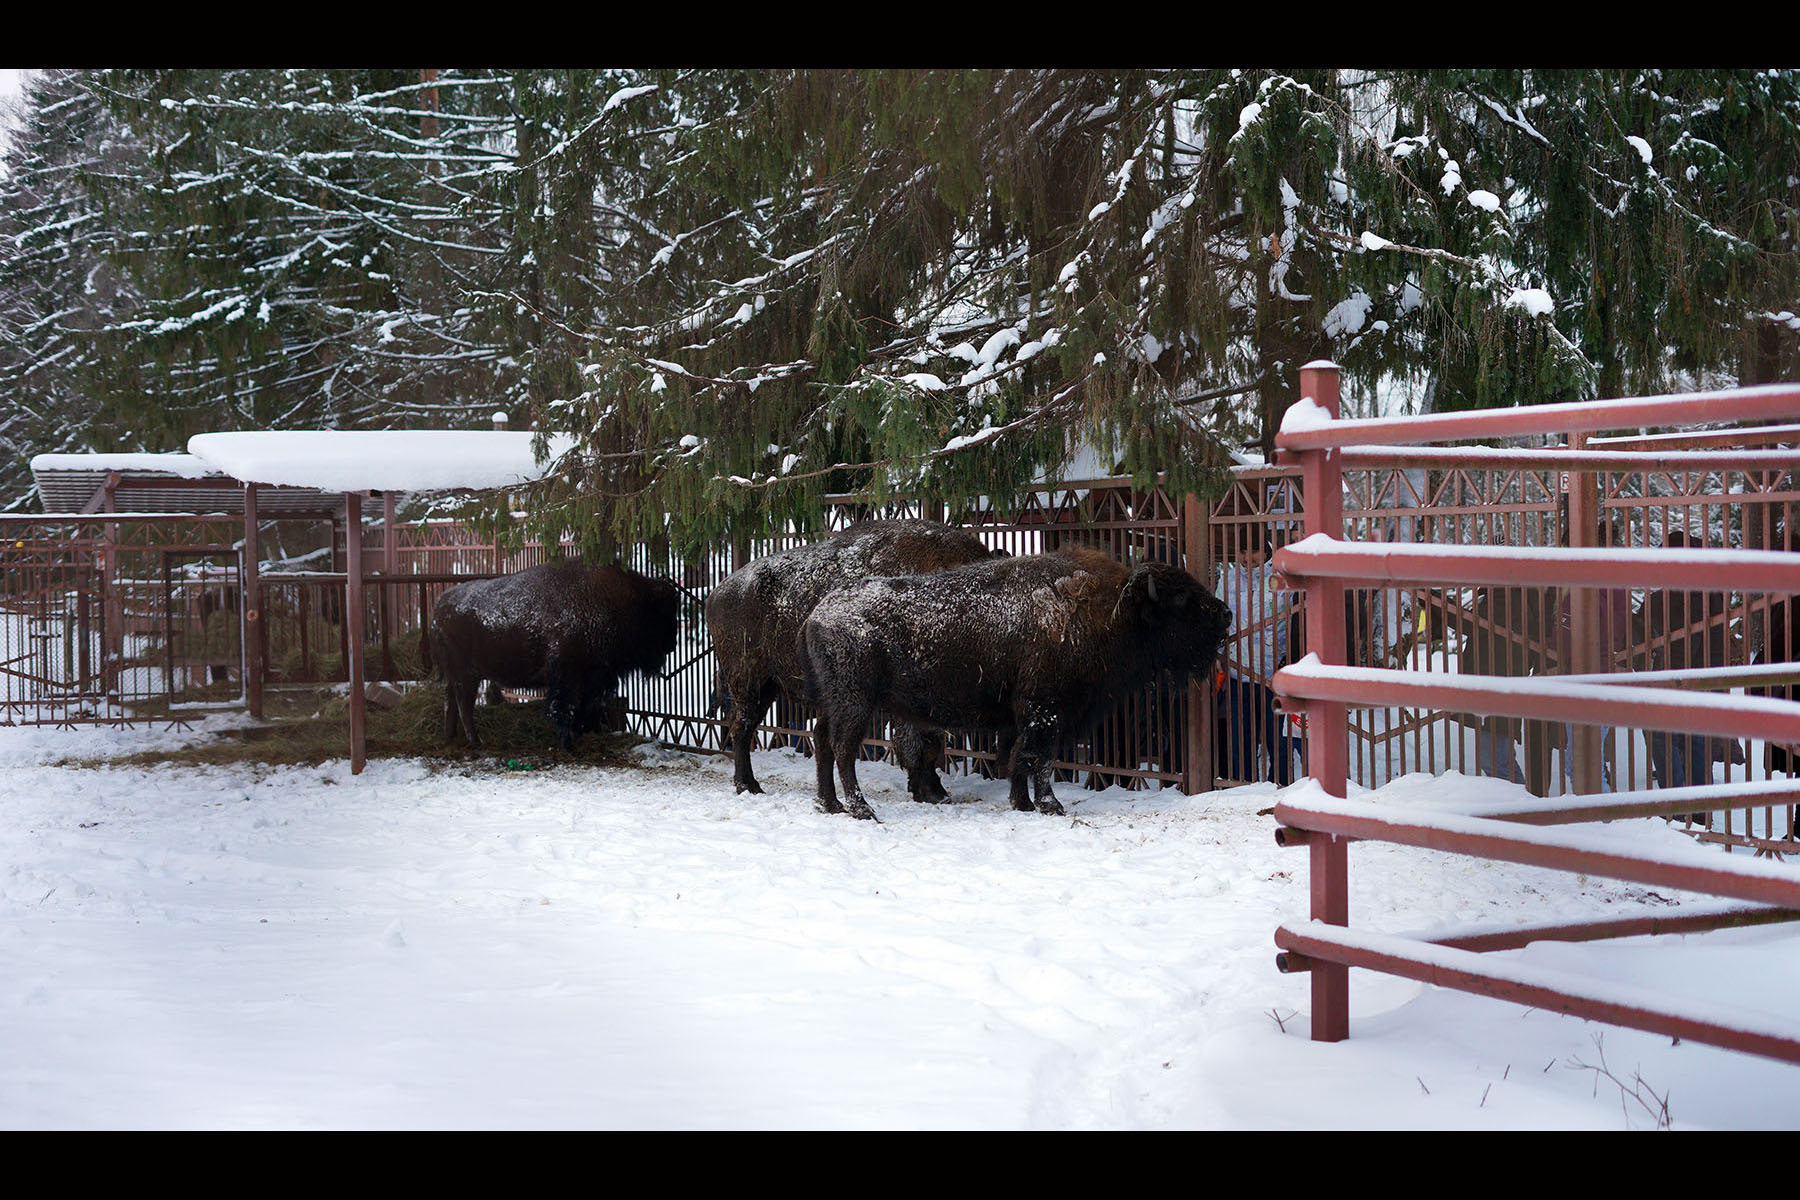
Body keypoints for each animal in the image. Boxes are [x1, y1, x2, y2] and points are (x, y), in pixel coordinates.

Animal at [430, 564, 680, 752]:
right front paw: (567, 745)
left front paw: (577, 737)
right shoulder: (567, 677)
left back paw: (450, 737)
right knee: (464, 704)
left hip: (459, 676)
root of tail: (439, 605)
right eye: (661, 611)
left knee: (450, 699)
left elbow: (582, 708)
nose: (673, 643)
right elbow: (564, 708)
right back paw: (475, 741)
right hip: (466, 676)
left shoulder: (591, 679)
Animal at [709, 521, 1008, 798]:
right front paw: (932, 792)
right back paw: (748, 785)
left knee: (745, 726)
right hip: (747, 682)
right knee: (741, 727)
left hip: (769, 686)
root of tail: (717, 593)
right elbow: (923, 741)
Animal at [799, 546, 1231, 820]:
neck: (1113, 610)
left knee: (822, 741)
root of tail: (817, 614)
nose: (1225, 614)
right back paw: (861, 810)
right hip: (855, 702)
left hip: (833, 702)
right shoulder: (1047, 710)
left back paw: (830, 805)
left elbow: (1016, 757)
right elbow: (1039, 758)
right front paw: (1051, 806)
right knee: (842, 748)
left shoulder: (1019, 716)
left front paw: (1022, 804)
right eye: (1180, 601)